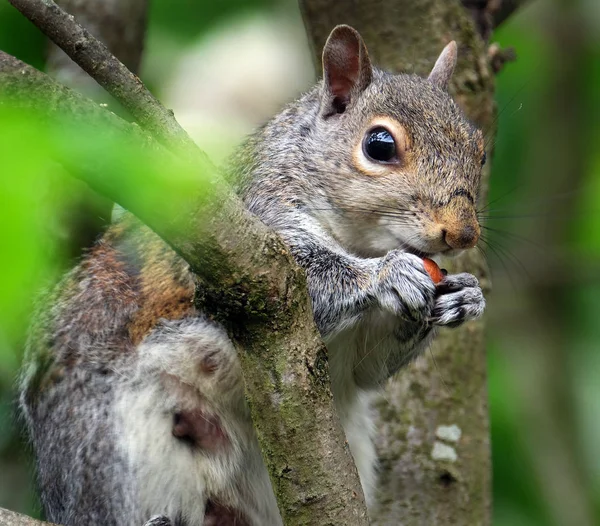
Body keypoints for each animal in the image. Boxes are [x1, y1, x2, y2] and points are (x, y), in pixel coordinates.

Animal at [19, 23, 488, 526]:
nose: (461, 233)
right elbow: (306, 279)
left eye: (480, 152)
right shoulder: (249, 223)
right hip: (110, 450)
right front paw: (386, 275)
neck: (360, 240)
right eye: (379, 145)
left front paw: (465, 296)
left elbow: (369, 369)